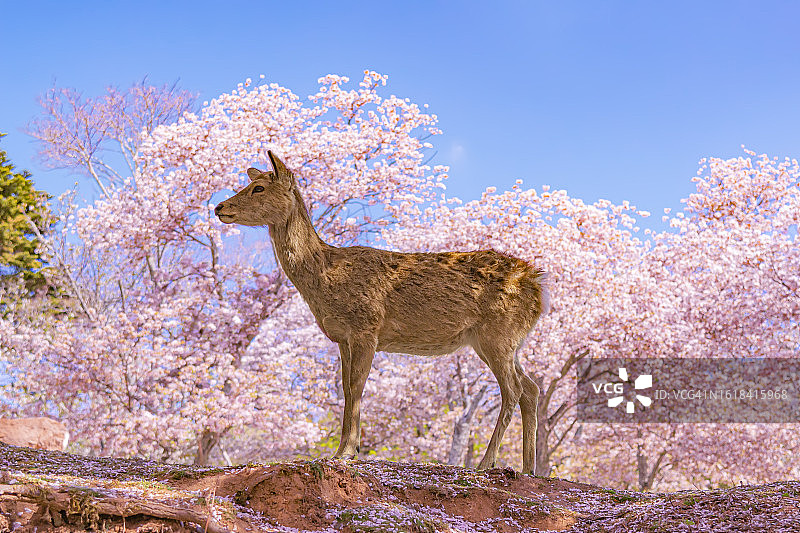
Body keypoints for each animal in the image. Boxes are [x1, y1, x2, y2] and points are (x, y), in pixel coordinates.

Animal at [215, 151, 548, 474]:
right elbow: (347, 390)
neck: (326, 276)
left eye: (258, 188)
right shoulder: (342, 337)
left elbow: (357, 386)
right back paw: (529, 467)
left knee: (514, 389)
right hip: (499, 341)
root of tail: (537, 289)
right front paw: (344, 449)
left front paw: (347, 452)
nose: (219, 207)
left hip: (497, 333)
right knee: (531, 388)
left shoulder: (366, 326)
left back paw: (486, 462)